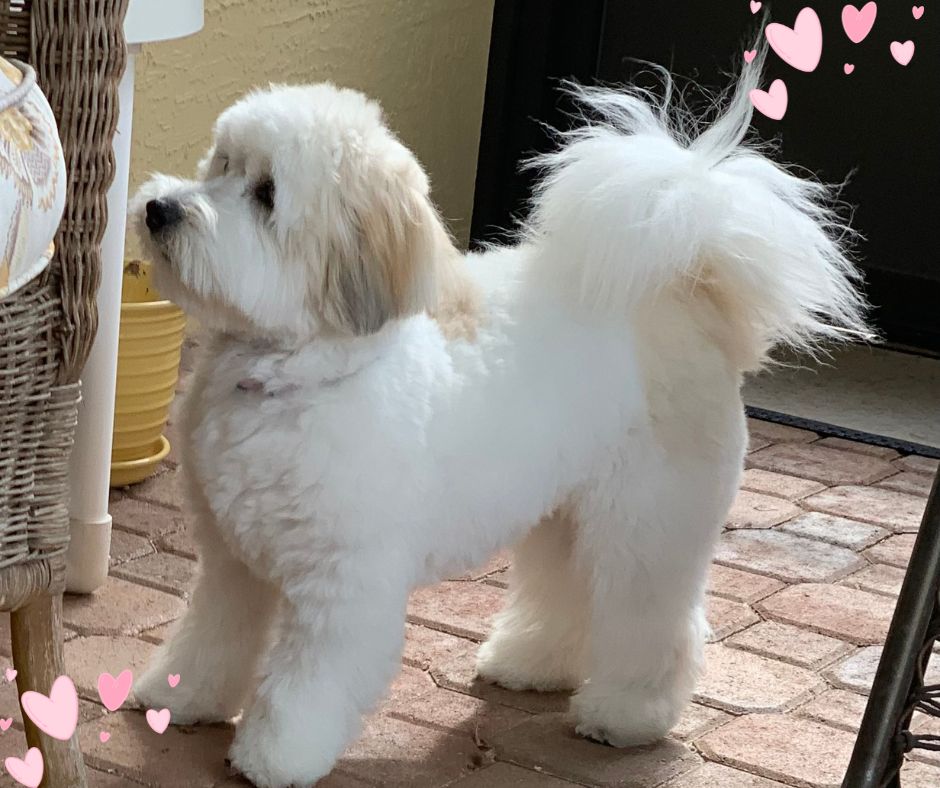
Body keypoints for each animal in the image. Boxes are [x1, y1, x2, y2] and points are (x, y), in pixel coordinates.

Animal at [129, 61, 872, 788]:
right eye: (221, 164)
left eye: (265, 194)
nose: (160, 210)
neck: (297, 375)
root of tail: (682, 290)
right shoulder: (231, 562)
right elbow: (210, 637)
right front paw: (177, 698)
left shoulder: (341, 590)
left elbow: (304, 686)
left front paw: (275, 755)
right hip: (564, 514)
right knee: (568, 593)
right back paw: (531, 663)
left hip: (648, 525)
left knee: (651, 622)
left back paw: (626, 714)